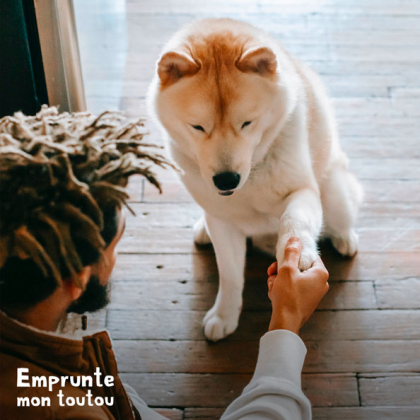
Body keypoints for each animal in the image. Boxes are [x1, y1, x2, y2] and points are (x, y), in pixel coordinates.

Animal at [149, 18, 362, 342]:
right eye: (197, 127)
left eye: (247, 123)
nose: (226, 180)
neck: (250, 178)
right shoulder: (222, 220)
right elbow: (230, 275)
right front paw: (225, 315)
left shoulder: (303, 190)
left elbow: (294, 218)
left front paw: (298, 252)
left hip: (334, 194)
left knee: (342, 218)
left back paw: (344, 239)